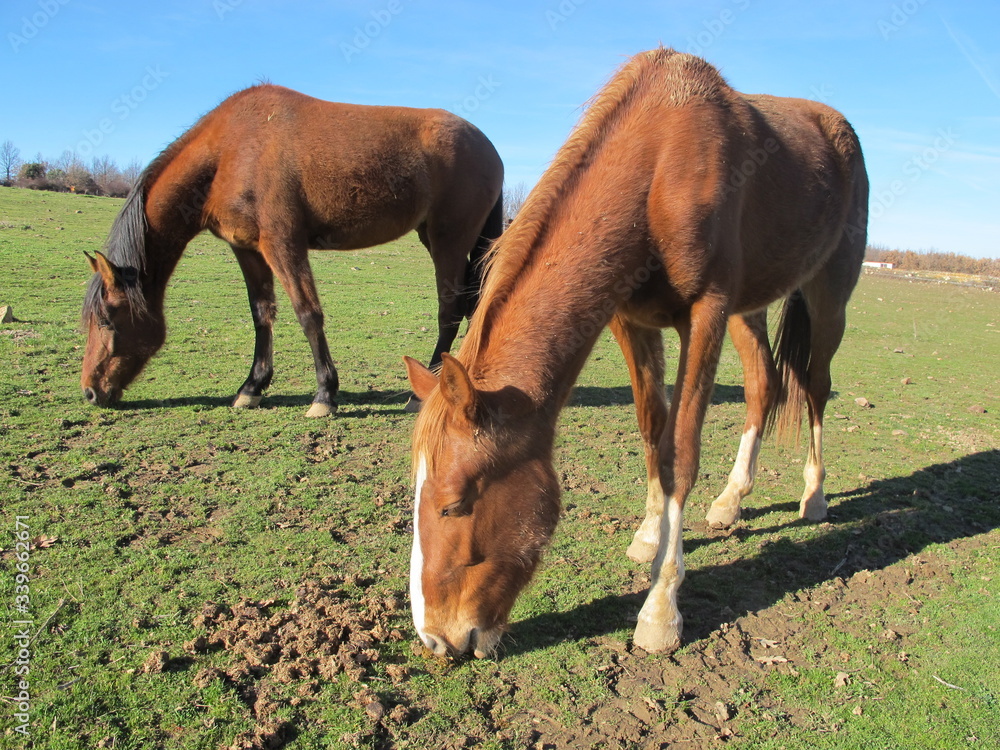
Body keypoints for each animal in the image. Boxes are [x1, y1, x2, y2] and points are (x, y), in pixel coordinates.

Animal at [81, 84, 504, 416]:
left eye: (107, 320)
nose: (90, 391)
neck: (230, 150)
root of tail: (487, 146)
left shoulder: (282, 244)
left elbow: (307, 314)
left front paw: (324, 395)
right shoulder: (247, 249)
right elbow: (261, 314)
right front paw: (252, 387)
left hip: (449, 241)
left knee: (450, 309)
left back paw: (425, 391)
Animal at [403, 48, 868, 657]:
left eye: (454, 504)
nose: (435, 639)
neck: (659, 161)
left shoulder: (706, 313)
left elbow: (680, 452)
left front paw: (660, 608)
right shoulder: (631, 320)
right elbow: (652, 427)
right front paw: (650, 536)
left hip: (828, 292)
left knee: (815, 386)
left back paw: (814, 496)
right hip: (750, 308)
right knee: (764, 385)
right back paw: (731, 501)